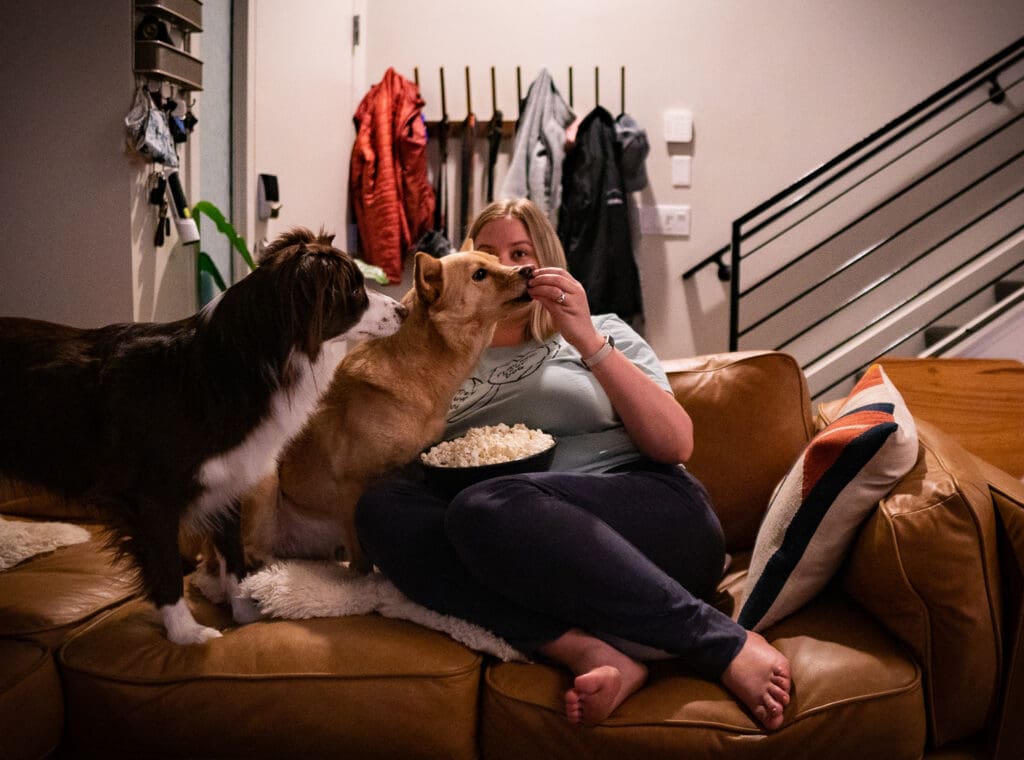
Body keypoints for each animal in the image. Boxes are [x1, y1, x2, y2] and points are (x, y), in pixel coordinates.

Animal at [0, 229, 407, 647]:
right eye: (355, 290)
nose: (403, 311)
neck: (239, 362)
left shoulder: (226, 482)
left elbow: (233, 556)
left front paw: (245, 615)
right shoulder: (152, 498)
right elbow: (166, 568)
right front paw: (187, 633)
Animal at [243, 246, 532, 573]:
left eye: (497, 261)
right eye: (479, 274)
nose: (529, 270)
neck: (423, 366)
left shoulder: (407, 467)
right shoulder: (350, 482)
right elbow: (362, 559)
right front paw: (365, 579)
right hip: (265, 481)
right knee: (250, 554)